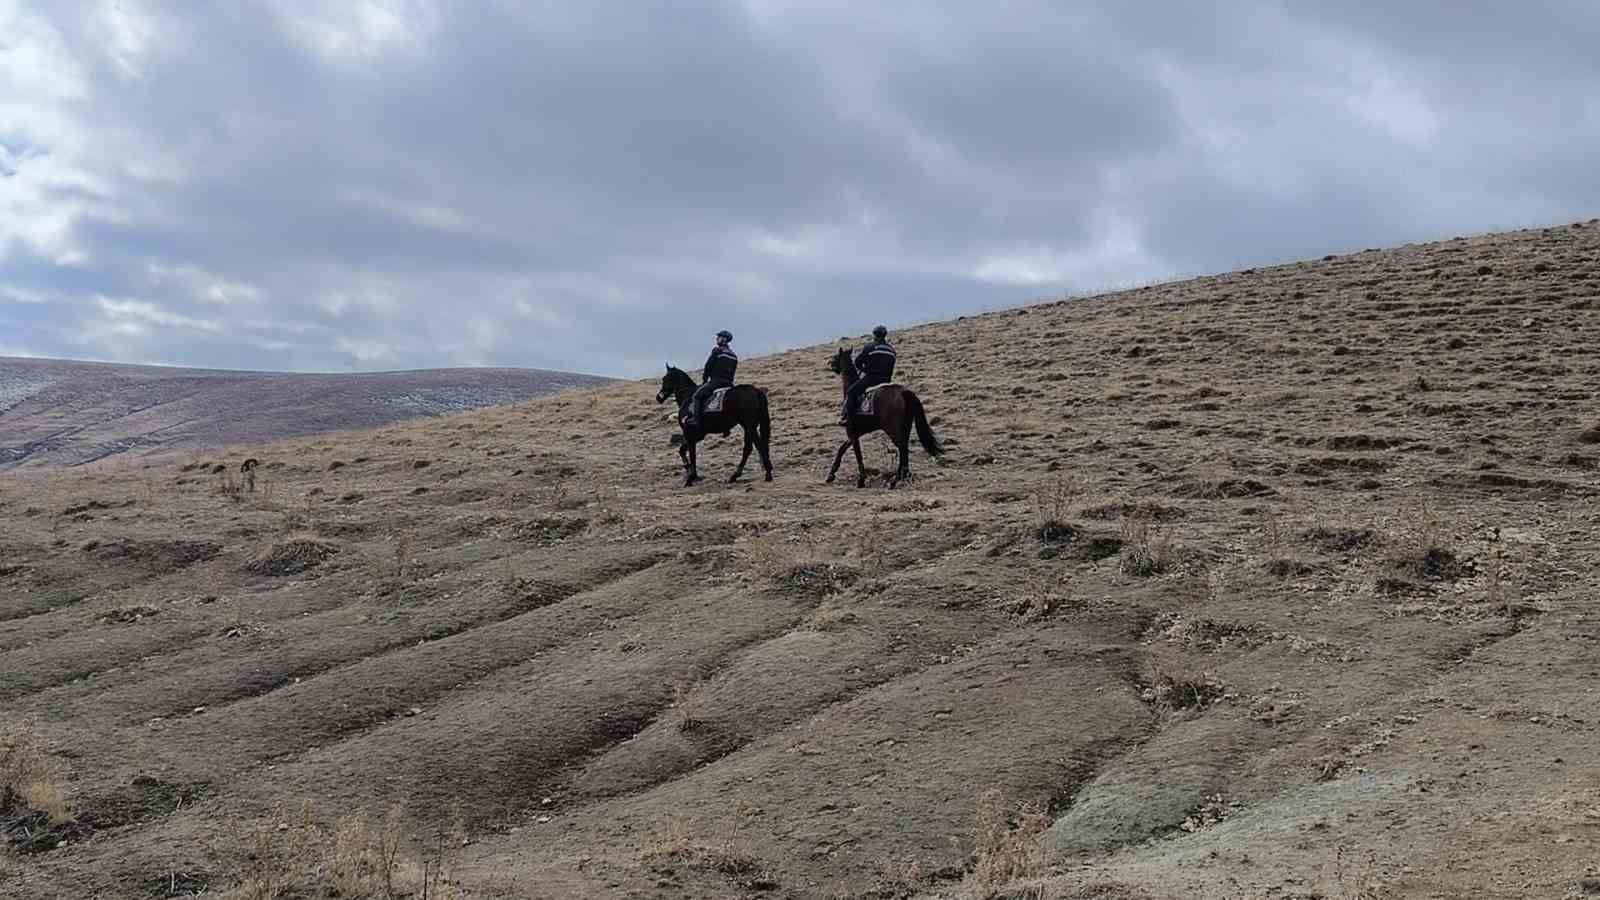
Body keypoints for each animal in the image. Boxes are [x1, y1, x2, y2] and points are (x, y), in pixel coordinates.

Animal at [825, 344, 934, 486]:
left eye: (836, 356)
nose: (830, 363)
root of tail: (903, 392)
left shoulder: (851, 431)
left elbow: (857, 454)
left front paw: (861, 479)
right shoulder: (858, 432)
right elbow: (842, 449)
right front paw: (831, 474)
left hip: (892, 429)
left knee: (902, 448)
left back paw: (896, 479)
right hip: (905, 427)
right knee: (904, 448)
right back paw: (904, 475)